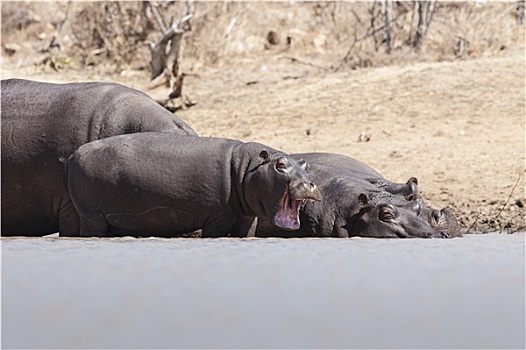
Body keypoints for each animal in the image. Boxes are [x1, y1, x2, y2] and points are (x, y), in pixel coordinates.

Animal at [66, 132, 322, 238]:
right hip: (92, 216)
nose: (309, 184)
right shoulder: (219, 217)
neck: (246, 168)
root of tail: (73, 155)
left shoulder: (247, 217)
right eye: (280, 165)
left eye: (303, 163)